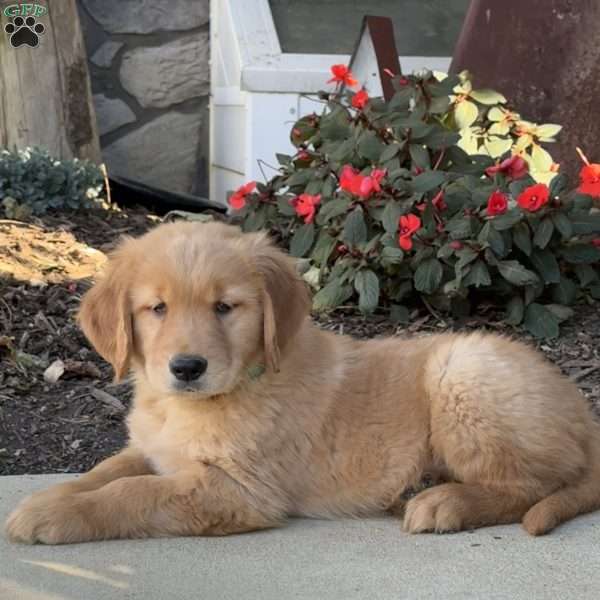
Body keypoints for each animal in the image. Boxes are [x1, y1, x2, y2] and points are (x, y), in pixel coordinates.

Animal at [4, 221, 600, 544]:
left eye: (225, 308)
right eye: (157, 308)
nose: (187, 368)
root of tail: (581, 407)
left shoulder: (240, 489)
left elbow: (132, 493)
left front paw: (56, 515)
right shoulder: (154, 451)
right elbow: (105, 471)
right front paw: (48, 499)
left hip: (463, 372)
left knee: (530, 486)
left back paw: (444, 503)